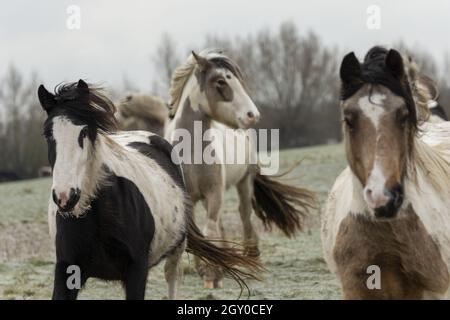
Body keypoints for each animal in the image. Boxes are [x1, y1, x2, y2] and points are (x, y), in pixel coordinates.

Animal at [38, 80, 262, 300]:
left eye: (84, 132)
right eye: (47, 134)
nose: (65, 196)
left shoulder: (137, 271)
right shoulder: (67, 272)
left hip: (176, 251)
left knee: (172, 281)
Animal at [165, 49, 316, 288]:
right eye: (220, 81)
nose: (252, 115)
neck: (191, 152)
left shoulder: (214, 193)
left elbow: (209, 229)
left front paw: (211, 273)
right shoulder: (189, 197)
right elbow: (197, 233)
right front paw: (208, 268)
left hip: (244, 182)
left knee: (244, 214)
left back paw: (250, 257)